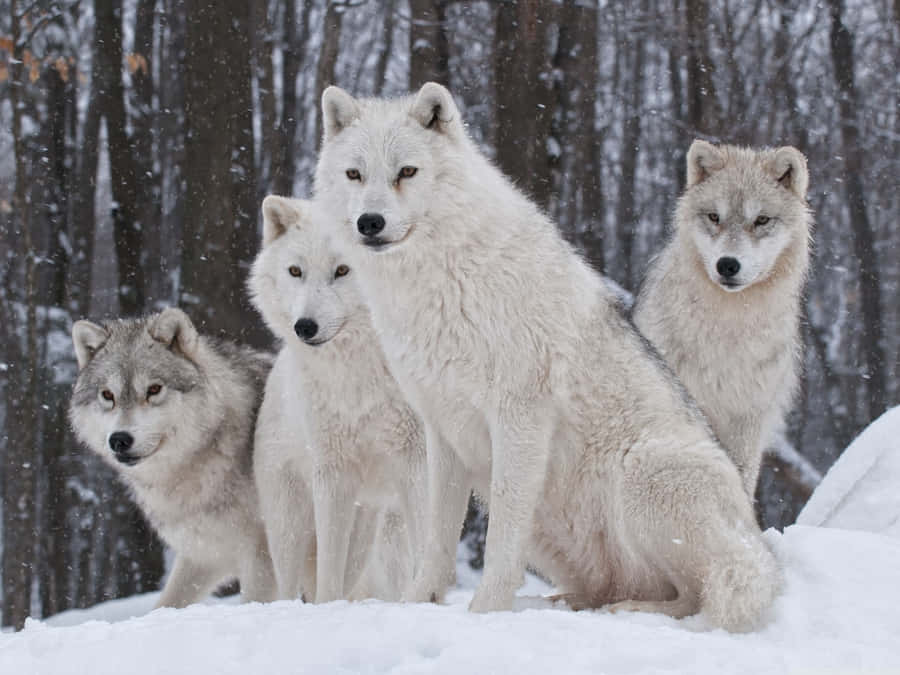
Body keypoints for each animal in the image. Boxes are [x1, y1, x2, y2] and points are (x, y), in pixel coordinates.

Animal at [69, 308, 277, 608]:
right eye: (108, 395)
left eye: (154, 389)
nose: (119, 439)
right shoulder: (204, 554)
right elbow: (166, 604)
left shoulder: (263, 553)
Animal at [248, 195, 426, 603]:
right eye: (295, 271)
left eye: (343, 270)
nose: (304, 327)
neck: (360, 375)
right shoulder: (332, 473)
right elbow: (329, 571)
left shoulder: (417, 463)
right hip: (290, 525)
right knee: (291, 585)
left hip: (376, 527)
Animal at [313, 82, 780, 631]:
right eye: (354, 174)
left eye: (407, 172)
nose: (370, 222)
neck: (442, 280)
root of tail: (758, 544)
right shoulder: (442, 429)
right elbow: (436, 539)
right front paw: (416, 605)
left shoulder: (519, 418)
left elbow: (500, 542)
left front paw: (485, 613)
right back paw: (569, 603)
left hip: (644, 471)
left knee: (696, 593)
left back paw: (630, 610)